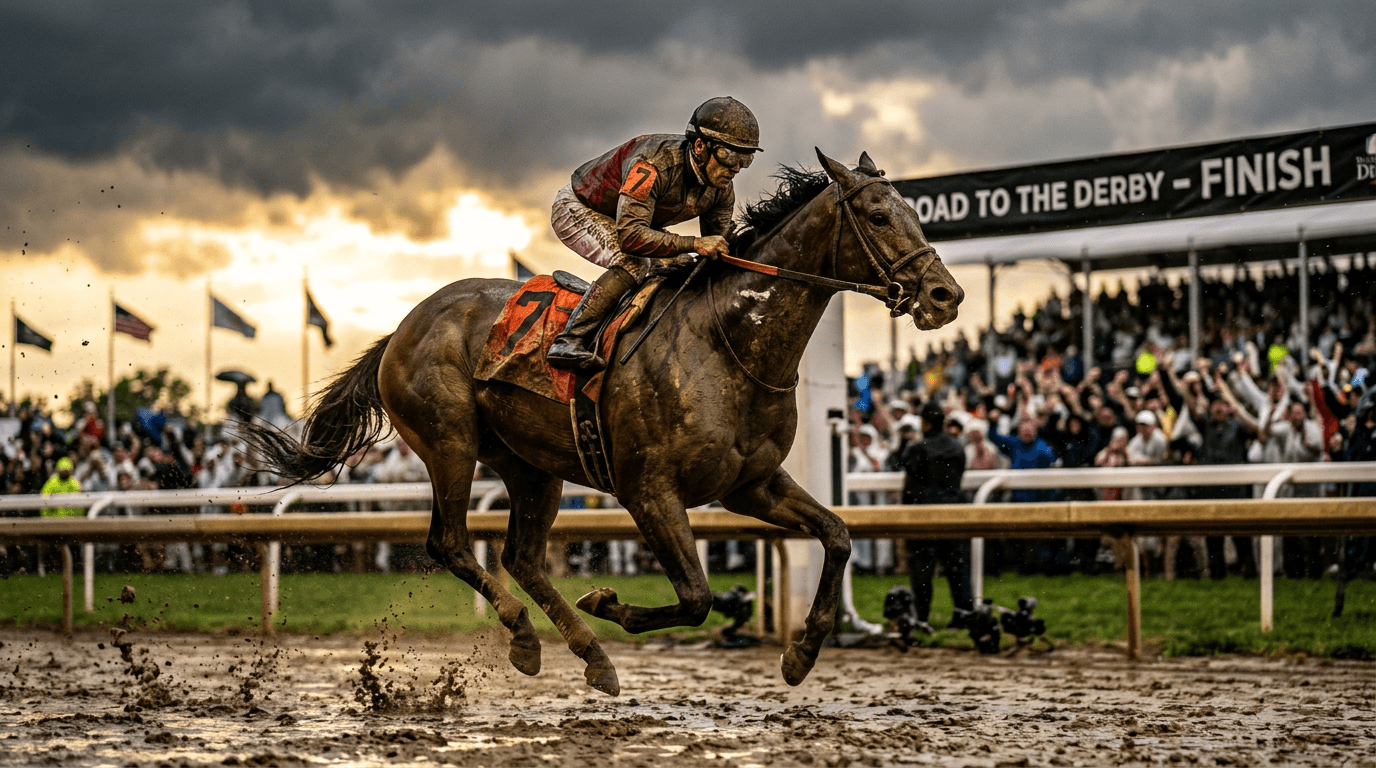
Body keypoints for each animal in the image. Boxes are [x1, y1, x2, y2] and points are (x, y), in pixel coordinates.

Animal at [244, 149, 964, 696]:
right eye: (879, 214)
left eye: (914, 212)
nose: (945, 295)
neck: (728, 340)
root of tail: (402, 327)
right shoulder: (650, 490)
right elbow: (697, 597)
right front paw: (609, 603)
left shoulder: (750, 484)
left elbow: (838, 535)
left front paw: (803, 652)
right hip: (451, 443)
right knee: (450, 543)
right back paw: (529, 635)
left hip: (531, 466)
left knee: (521, 555)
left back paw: (588, 655)